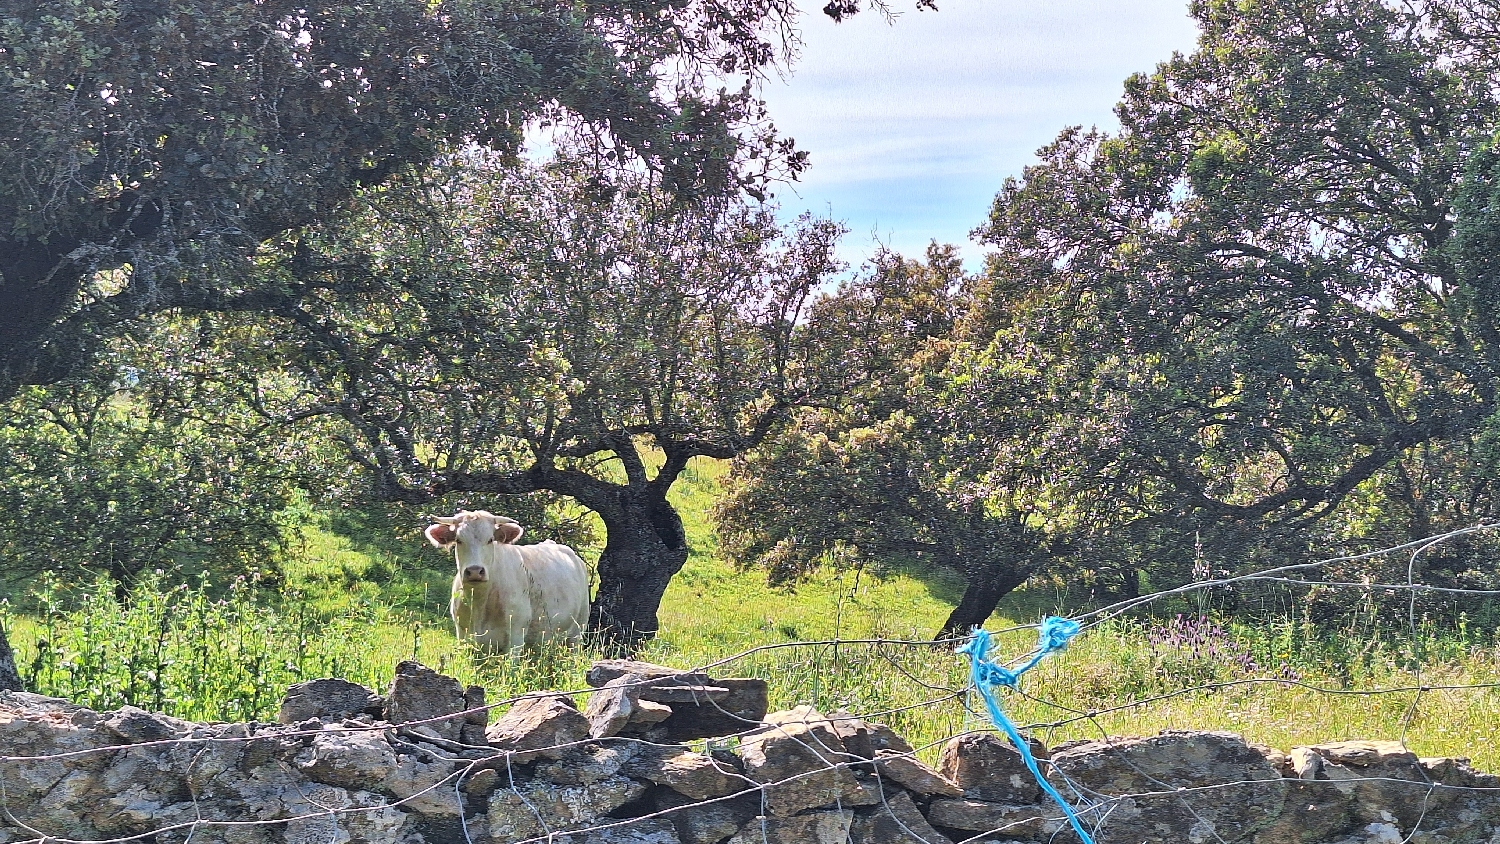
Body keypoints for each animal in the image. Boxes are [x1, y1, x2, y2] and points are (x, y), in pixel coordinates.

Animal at [429, 509, 591, 653]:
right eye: (458, 540)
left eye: (490, 540)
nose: (475, 571)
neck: (479, 605)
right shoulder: (463, 636)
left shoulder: (516, 638)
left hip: (577, 631)